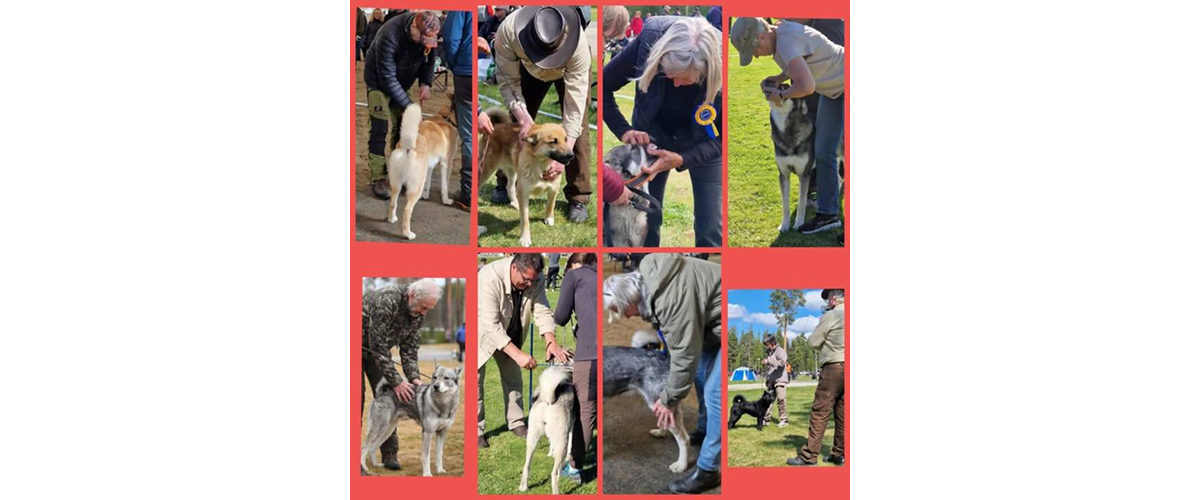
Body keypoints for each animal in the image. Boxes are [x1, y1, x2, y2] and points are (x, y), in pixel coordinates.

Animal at [386, 102, 456, 238]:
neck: (445, 118)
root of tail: (408, 146)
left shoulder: (429, 166)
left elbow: (428, 184)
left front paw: (426, 195)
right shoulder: (446, 163)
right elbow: (445, 186)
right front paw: (446, 200)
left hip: (396, 183)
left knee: (392, 202)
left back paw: (392, 219)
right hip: (416, 186)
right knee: (407, 210)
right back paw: (408, 234)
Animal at [475, 110, 573, 248]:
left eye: (566, 139)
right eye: (553, 141)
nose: (572, 155)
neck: (541, 164)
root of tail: (496, 126)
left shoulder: (553, 189)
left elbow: (550, 205)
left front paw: (549, 218)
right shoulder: (524, 192)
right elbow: (525, 219)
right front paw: (525, 238)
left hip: (513, 172)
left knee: (510, 188)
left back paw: (515, 204)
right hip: (486, 169)